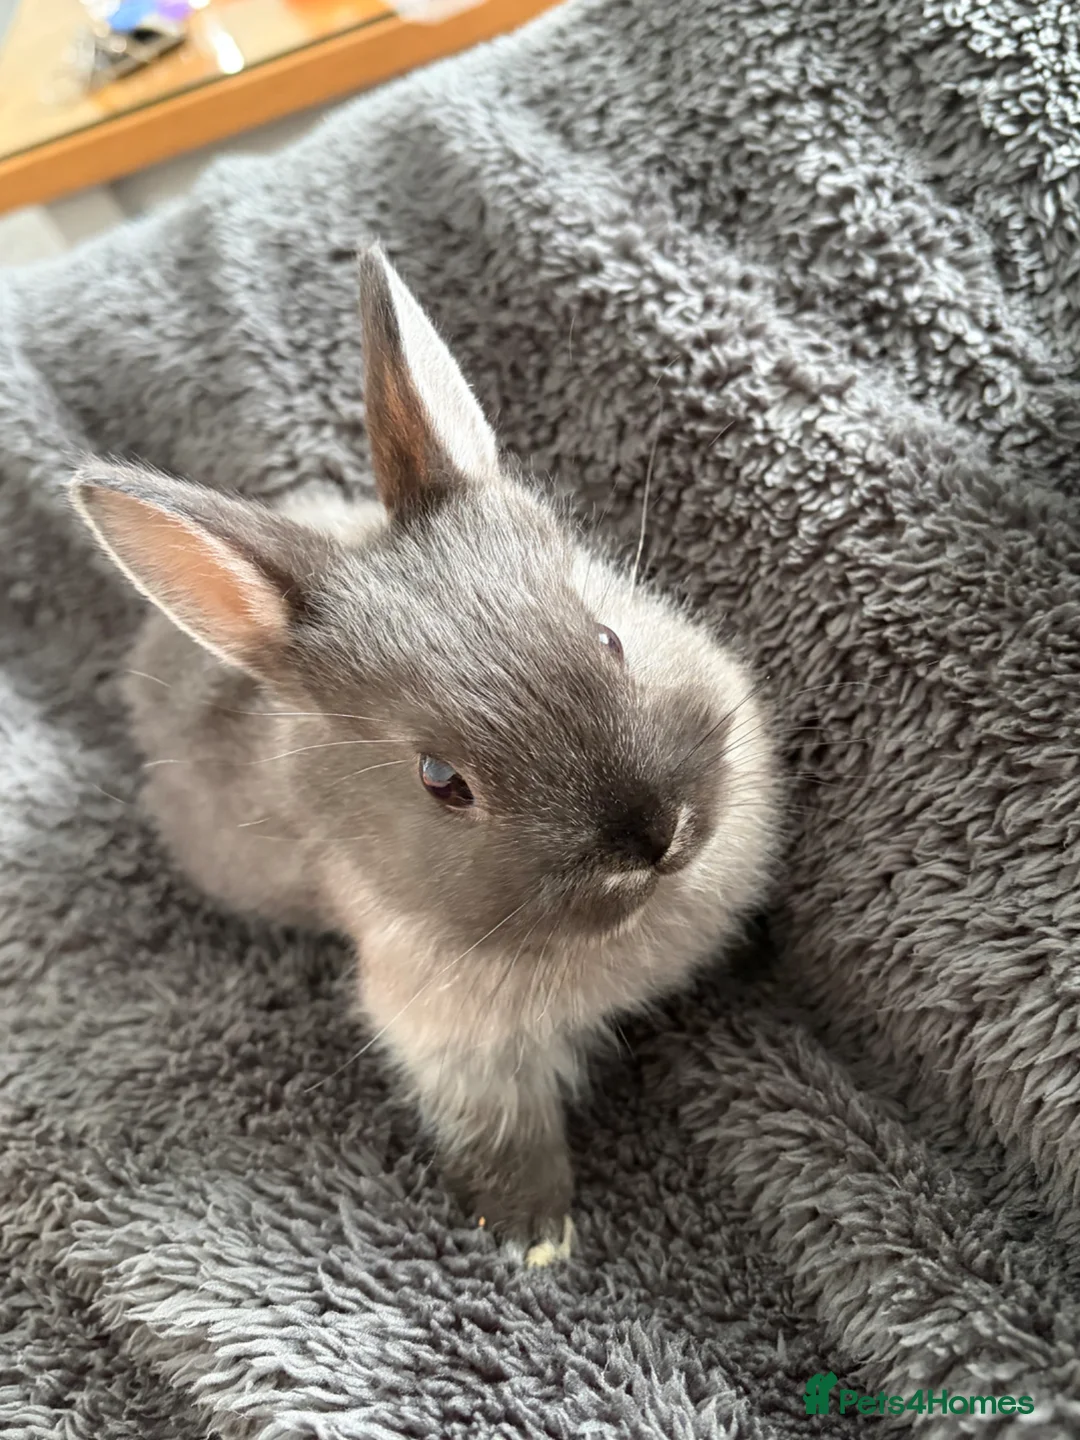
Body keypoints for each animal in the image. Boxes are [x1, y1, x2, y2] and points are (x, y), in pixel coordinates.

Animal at [69, 247, 780, 1266]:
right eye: (442, 782)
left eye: (608, 638)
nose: (654, 835)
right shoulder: (453, 1043)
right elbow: (502, 1127)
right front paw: (534, 1238)